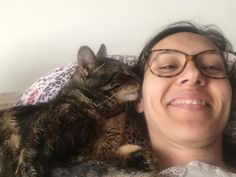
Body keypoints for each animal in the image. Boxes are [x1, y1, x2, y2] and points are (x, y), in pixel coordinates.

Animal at [0, 45, 159, 177]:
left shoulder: (99, 152)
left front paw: (141, 158)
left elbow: (108, 159)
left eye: (131, 71)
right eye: (121, 74)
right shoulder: (44, 161)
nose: (139, 79)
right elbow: (100, 169)